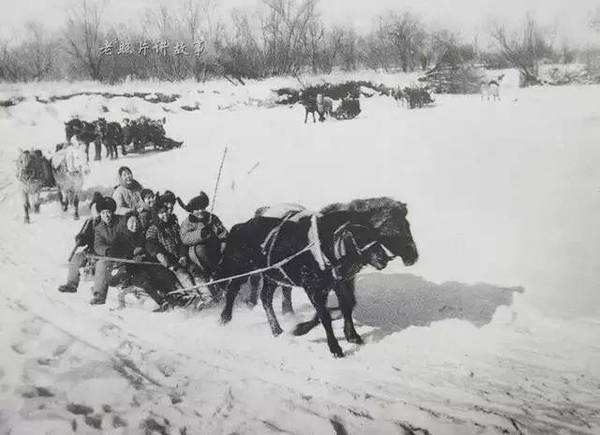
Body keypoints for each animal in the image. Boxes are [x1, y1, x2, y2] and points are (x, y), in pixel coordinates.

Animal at [218, 198, 420, 358]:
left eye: (407, 226)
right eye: (395, 228)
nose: (413, 256)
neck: (327, 246)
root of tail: (242, 224)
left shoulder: (341, 283)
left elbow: (346, 306)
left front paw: (352, 335)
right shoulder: (314, 288)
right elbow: (325, 316)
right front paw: (333, 346)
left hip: (273, 276)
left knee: (266, 297)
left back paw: (277, 330)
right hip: (243, 269)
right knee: (233, 290)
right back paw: (225, 318)